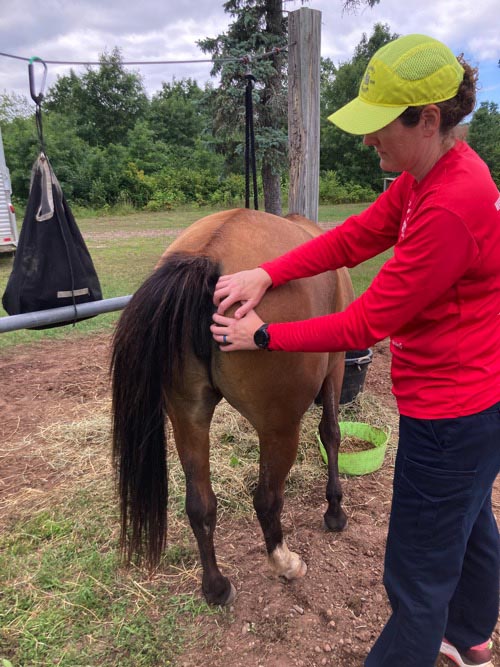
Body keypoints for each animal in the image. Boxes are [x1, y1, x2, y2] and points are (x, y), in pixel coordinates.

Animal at [112, 207, 356, 604]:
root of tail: (206, 257)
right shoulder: (335, 367)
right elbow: (331, 434)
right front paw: (335, 510)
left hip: (189, 418)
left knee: (200, 505)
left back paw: (216, 587)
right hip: (278, 428)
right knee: (267, 500)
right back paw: (284, 563)